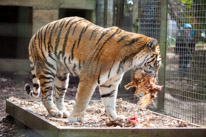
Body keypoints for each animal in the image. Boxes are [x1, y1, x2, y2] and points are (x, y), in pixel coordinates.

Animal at [24, 16, 162, 122]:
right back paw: (54, 112)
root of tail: (34, 35)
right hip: (47, 69)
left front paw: (115, 118)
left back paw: (63, 112)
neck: (128, 61)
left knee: (58, 95)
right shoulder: (89, 77)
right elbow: (82, 99)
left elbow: (110, 101)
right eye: (156, 64)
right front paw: (76, 118)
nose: (155, 77)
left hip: (61, 75)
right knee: (46, 95)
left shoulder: (110, 82)